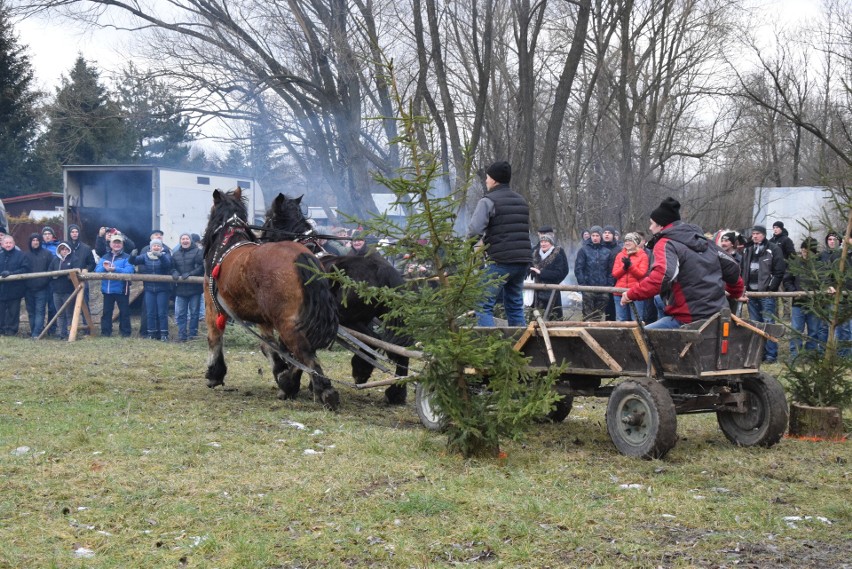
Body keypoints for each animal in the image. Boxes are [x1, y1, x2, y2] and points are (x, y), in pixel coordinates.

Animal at [202, 190, 340, 408]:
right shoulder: (264, 318)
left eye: (269, 219)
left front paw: (215, 373)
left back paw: (320, 389)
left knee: (305, 353)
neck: (227, 242)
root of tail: (301, 256)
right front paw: (280, 372)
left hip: (287, 323)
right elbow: (269, 346)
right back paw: (293, 382)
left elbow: (214, 336)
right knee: (303, 351)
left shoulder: (212, 304)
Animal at [260, 194, 410, 404]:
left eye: (269, 217)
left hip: (348, 318)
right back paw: (394, 391)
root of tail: (383, 270)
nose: (260, 238)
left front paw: (293, 383)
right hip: (380, 317)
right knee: (397, 349)